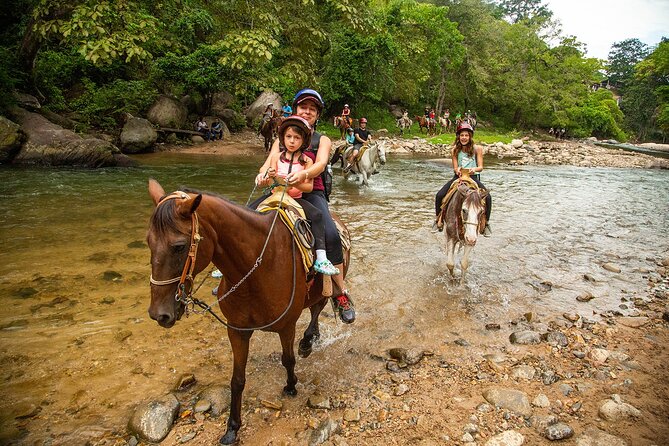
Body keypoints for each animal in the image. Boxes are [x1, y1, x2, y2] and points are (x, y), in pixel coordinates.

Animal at [145, 179, 350, 444]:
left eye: (179, 246)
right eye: (148, 242)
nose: (159, 314)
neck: (257, 268)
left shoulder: (287, 325)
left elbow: (288, 359)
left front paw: (291, 386)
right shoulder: (237, 330)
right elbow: (237, 380)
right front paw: (232, 428)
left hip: (325, 286)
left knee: (318, 307)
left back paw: (312, 336)